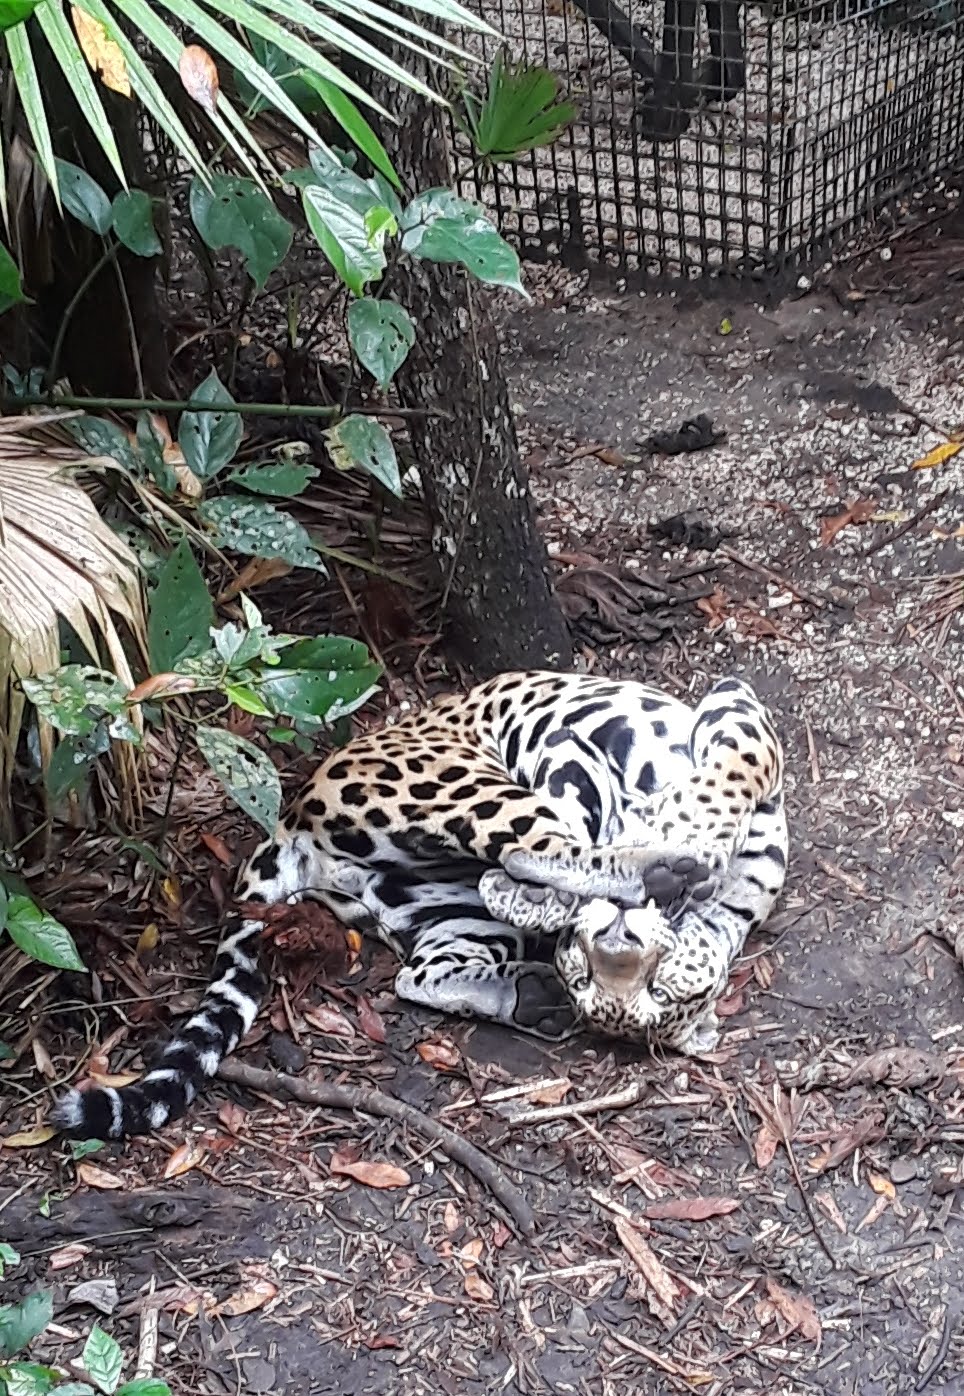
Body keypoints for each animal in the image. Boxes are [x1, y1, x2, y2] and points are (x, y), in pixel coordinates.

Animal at [52, 670, 787, 1140]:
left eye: (656, 992)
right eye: (586, 973)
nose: (609, 942)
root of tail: (290, 820)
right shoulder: (717, 706)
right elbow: (723, 770)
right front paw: (681, 833)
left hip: (437, 905)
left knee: (420, 970)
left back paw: (528, 987)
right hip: (459, 780)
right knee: (539, 842)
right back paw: (647, 868)